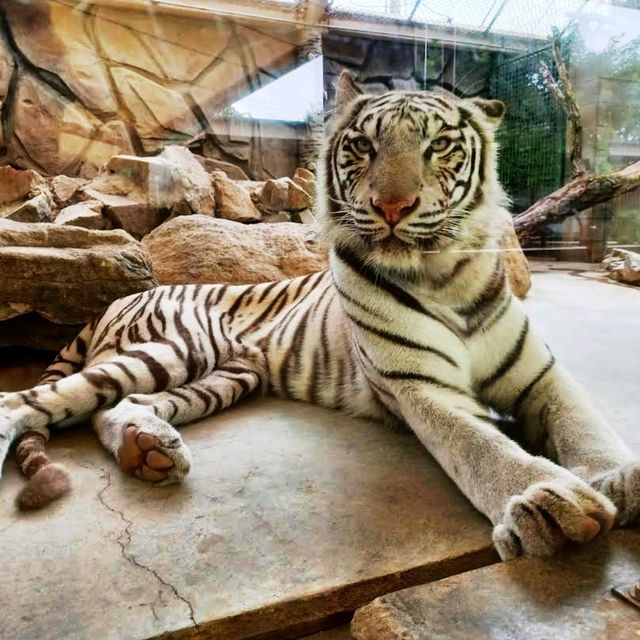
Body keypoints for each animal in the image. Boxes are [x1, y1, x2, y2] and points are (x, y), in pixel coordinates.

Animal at [2, 72, 636, 556]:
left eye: (438, 146)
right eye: (363, 147)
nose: (392, 206)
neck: (444, 276)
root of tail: (118, 297)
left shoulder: (541, 375)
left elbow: (585, 424)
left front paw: (620, 480)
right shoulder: (421, 387)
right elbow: (479, 445)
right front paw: (546, 501)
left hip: (229, 375)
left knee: (116, 408)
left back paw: (149, 450)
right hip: (171, 348)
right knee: (28, 402)